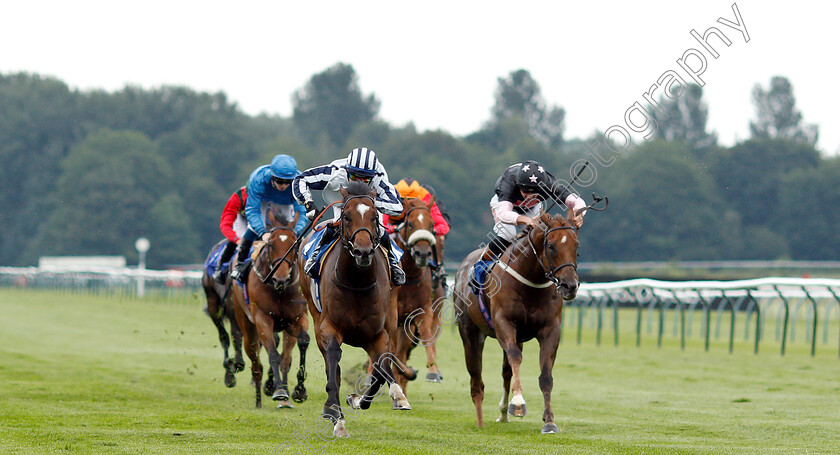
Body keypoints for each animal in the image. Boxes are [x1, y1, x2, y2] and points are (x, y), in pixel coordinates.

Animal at [201, 239, 246, 388]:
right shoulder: (233, 310)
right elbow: (236, 336)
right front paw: (234, 365)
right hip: (213, 304)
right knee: (224, 337)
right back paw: (229, 372)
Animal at [230, 210, 308, 410]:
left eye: (295, 244)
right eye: (271, 244)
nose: (281, 278)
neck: (278, 290)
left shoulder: (296, 318)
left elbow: (300, 344)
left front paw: (299, 390)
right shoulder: (262, 318)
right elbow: (273, 354)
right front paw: (279, 391)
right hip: (246, 325)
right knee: (256, 365)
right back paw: (259, 399)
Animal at [298, 181, 410, 438]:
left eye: (375, 216)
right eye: (346, 216)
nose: (363, 252)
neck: (357, 285)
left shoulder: (379, 334)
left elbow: (380, 370)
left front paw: (365, 399)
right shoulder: (329, 329)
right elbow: (333, 368)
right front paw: (337, 418)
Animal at [392, 196, 446, 392]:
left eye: (431, 225)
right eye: (410, 223)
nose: (422, 253)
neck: (408, 277)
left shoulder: (423, 311)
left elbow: (427, 337)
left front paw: (433, 371)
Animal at [456, 210, 580, 434]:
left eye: (577, 246)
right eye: (551, 245)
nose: (570, 286)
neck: (531, 281)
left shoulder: (550, 330)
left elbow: (545, 376)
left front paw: (549, 421)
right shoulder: (504, 323)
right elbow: (515, 358)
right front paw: (518, 403)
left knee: (505, 372)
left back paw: (503, 413)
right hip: (470, 333)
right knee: (476, 378)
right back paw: (480, 420)